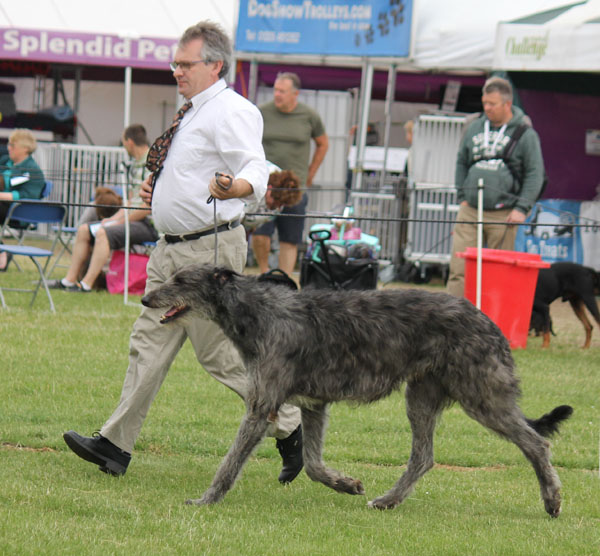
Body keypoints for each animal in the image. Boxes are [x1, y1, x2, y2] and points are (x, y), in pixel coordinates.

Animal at [141, 264, 572, 516]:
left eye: (181, 280)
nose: (145, 297)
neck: (257, 312)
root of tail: (490, 322)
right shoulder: (314, 403)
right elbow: (312, 463)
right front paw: (345, 484)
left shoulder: (262, 404)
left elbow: (230, 462)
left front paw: (206, 500)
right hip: (421, 396)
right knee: (423, 457)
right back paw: (388, 500)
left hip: (481, 395)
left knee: (536, 443)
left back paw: (552, 499)